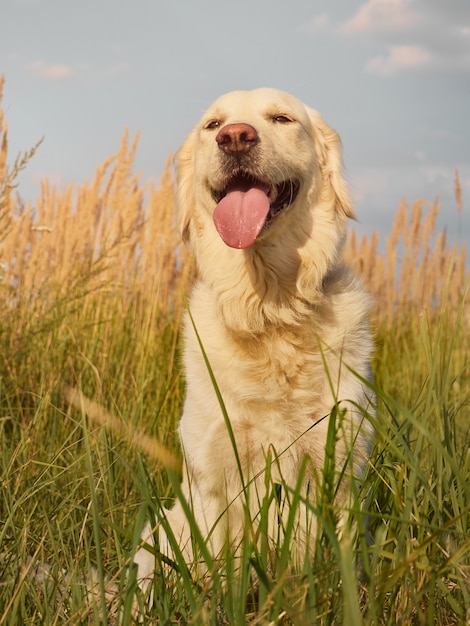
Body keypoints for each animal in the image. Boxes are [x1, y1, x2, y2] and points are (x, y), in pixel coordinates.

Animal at [134, 89, 372, 588]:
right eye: (213, 125)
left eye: (281, 118)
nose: (235, 137)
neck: (270, 311)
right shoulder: (215, 480)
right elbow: (222, 574)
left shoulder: (341, 469)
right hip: (159, 536)